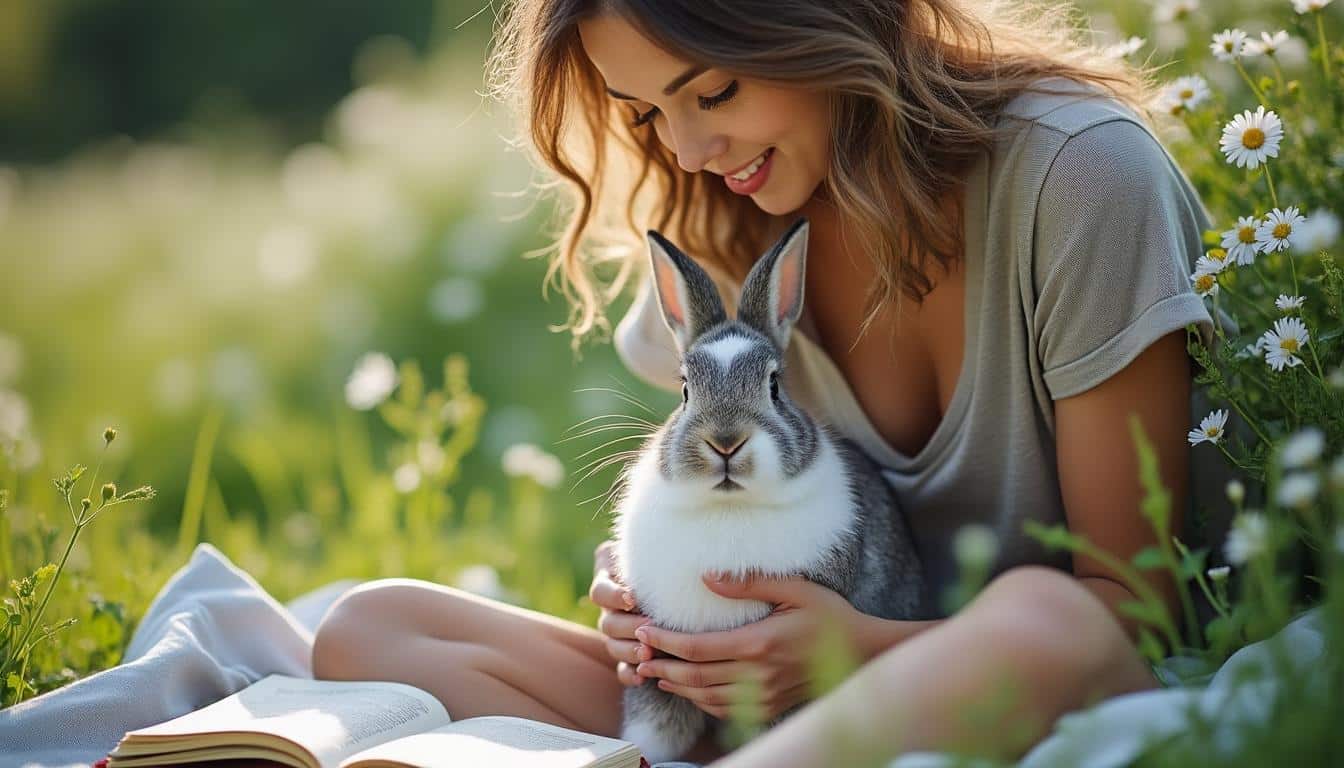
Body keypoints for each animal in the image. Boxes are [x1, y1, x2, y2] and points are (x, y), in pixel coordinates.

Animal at [609, 217, 928, 764]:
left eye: (775, 386)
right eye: (685, 389)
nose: (725, 442)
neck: (729, 508)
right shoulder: (654, 661)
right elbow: (652, 730)